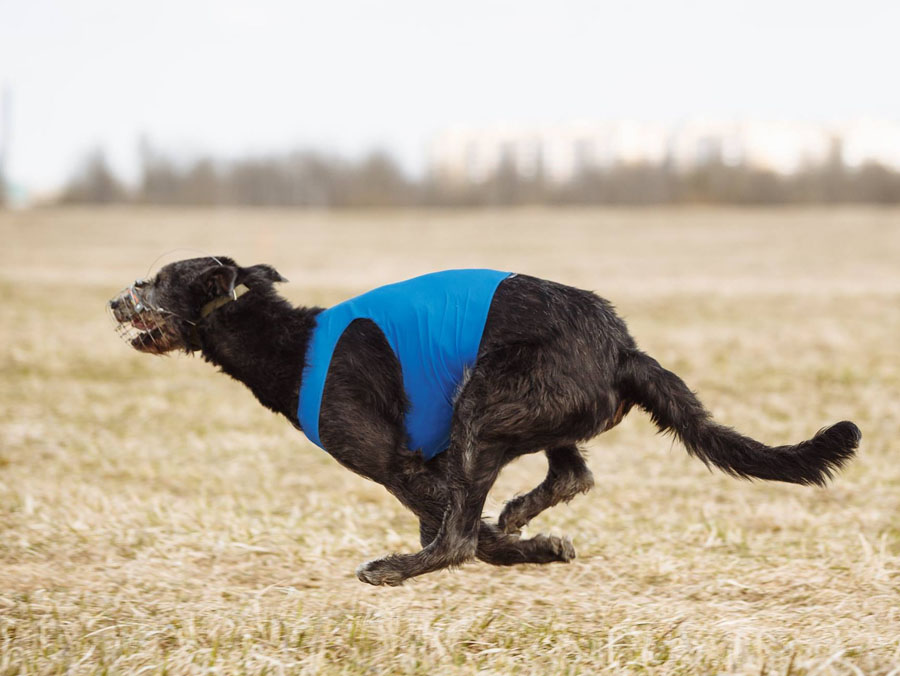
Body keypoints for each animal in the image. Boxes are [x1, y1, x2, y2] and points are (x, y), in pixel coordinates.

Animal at [109, 258, 860, 588]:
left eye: (157, 279)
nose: (115, 302)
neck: (287, 340)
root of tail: (622, 348)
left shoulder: (398, 463)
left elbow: (459, 532)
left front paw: (510, 548)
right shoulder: (431, 465)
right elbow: (470, 522)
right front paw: (535, 545)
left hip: (484, 404)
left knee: (460, 538)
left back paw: (399, 567)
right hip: (531, 413)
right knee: (572, 473)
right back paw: (526, 520)